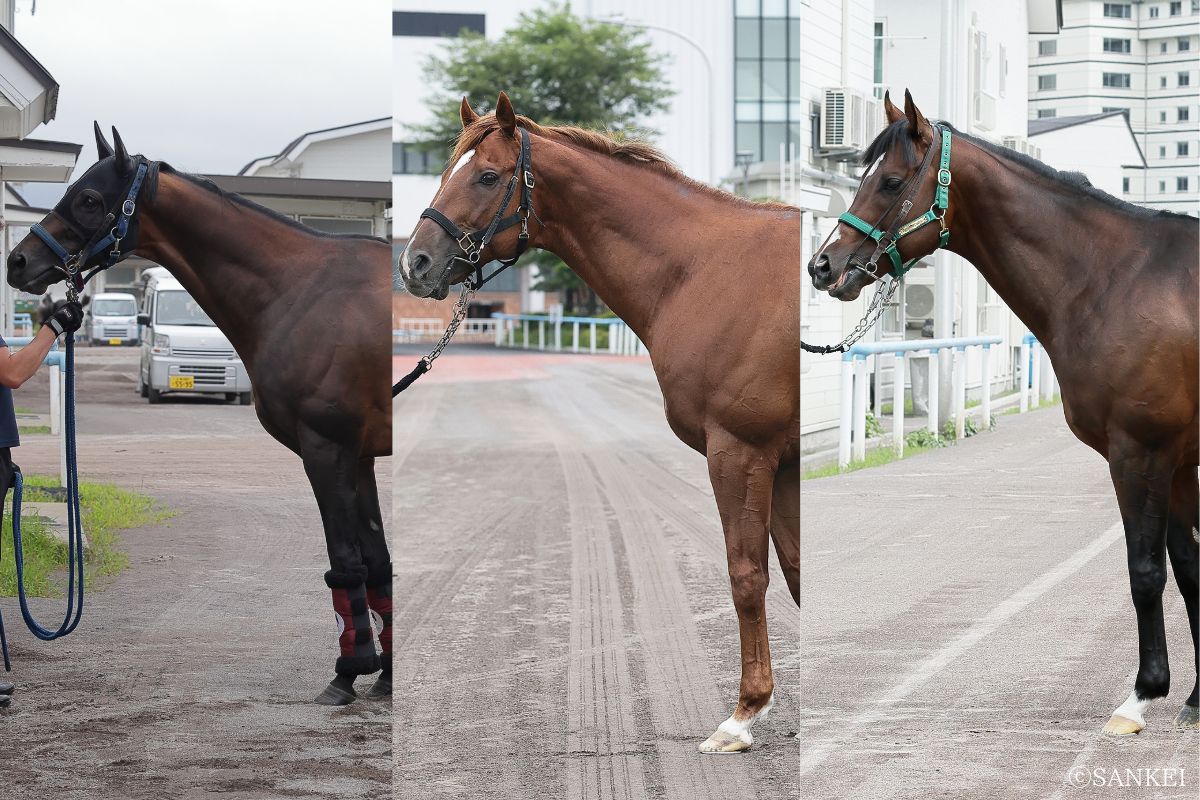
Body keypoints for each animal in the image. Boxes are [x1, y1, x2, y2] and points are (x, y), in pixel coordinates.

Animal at [6, 124, 393, 706]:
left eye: (90, 199)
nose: (18, 262)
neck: (303, 291)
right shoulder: (360, 456)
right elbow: (377, 561)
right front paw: (388, 674)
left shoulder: (327, 450)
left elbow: (347, 561)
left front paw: (350, 670)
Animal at [398, 93, 800, 753]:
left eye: (487, 176)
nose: (415, 264)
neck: (703, 269)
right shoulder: (783, 461)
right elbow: (791, 571)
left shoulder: (740, 452)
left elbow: (748, 577)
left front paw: (744, 715)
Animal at [808, 90, 1199, 734]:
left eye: (890, 182)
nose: (824, 265)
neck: (1116, 278)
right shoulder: (1177, 459)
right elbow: (1189, 566)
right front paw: (1195, 697)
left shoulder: (1140, 453)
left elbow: (1145, 570)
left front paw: (1144, 694)